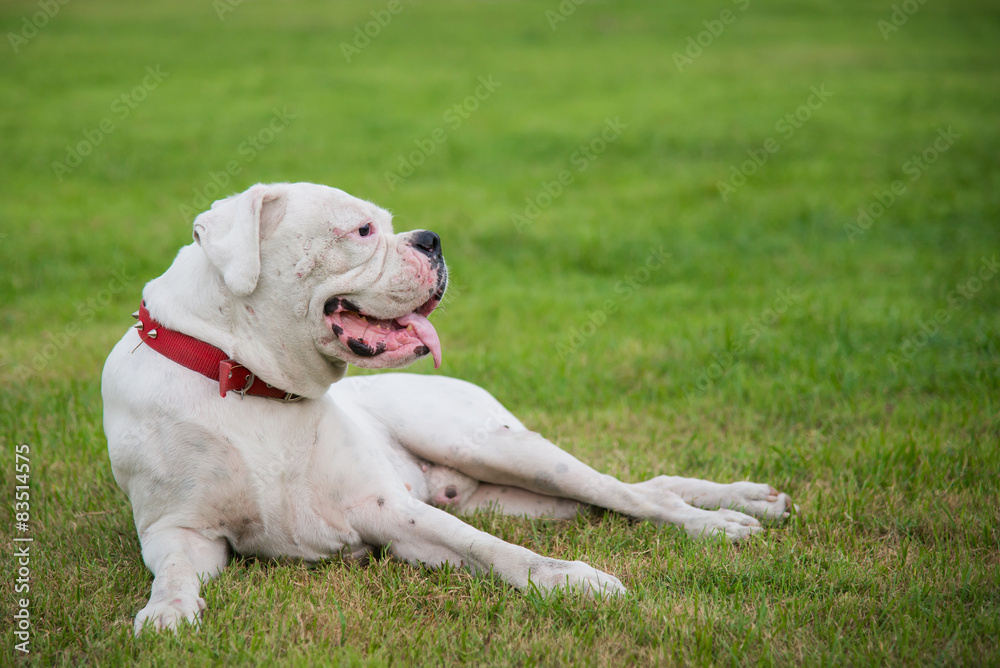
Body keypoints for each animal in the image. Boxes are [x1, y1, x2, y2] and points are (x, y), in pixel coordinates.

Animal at [99, 181, 788, 632]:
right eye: (362, 231)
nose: (431, 240)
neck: (252, 382)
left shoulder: (390, 511)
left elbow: (495, 549)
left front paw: (573, 579)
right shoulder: (179, 532)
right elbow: (174, 572)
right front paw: (166, 611)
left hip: (495, 445)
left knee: (635, 495)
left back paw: (725, 519)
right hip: (519, 493)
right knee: (629, 492)